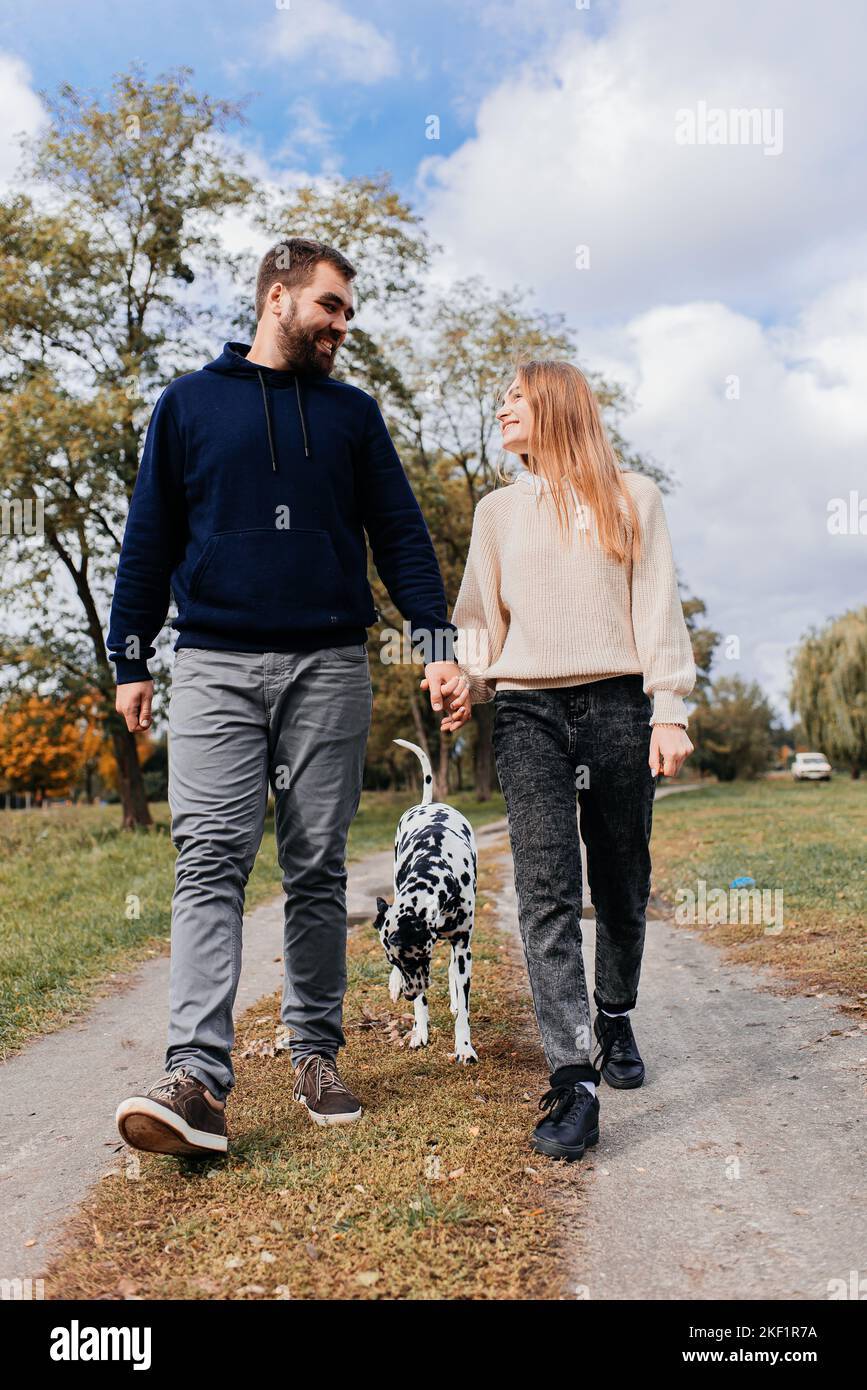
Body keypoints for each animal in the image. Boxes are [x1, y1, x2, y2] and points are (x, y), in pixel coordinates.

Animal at [372, 739, 477, 1061]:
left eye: (413, 958)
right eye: (393, 960)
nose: (408, 994)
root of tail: (428, 804)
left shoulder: (462, 945)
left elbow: (464, 1008)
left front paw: (464, 1047)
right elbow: (422, 1002)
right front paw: (419, 1029)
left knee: (453, 971)